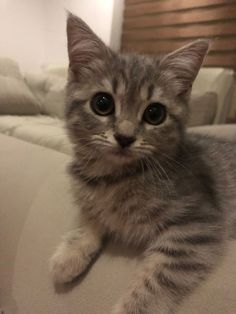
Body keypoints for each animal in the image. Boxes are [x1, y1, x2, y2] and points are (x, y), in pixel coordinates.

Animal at [49, 12, 236, 314]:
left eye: (155, 113)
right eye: (102, 103)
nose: (124, 137)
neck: (113, 178)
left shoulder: (197, 226)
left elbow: (158, 279)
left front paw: (133, 307)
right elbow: (90, 217)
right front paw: (69, 255)